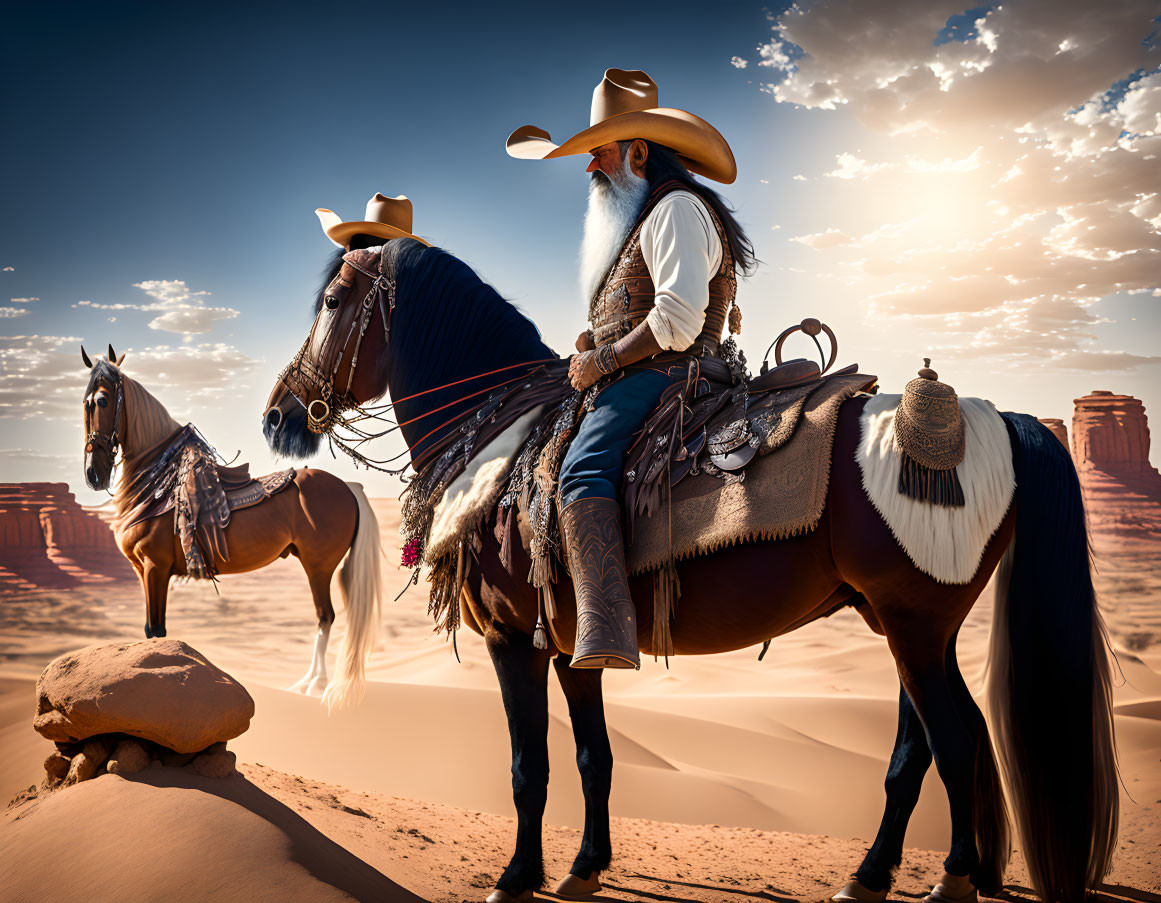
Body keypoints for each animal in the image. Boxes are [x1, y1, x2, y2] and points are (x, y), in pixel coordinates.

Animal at [83, 341, 380, 705]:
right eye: (84, 404)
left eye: (102, 401)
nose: (93, 474)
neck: (157, 487)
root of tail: (349, 487)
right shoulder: (143, 571)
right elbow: (152, 630)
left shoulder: (156, 567)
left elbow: (156, 630)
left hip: (319, 566)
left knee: (325, 617)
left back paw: (313, 683)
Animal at [261, 239, 1114, 900]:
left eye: (333, 300)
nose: (277, 413)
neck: (501, 434)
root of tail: (997, 417)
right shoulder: (572, 644)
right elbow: (593, 755)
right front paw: (584, 866)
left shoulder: (512, 638)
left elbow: (528, 765)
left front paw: (516, 875)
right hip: (910, 623)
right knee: (921, 743)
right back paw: (869, 875)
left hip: (913, 623)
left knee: (958, 736)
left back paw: (951, 879)